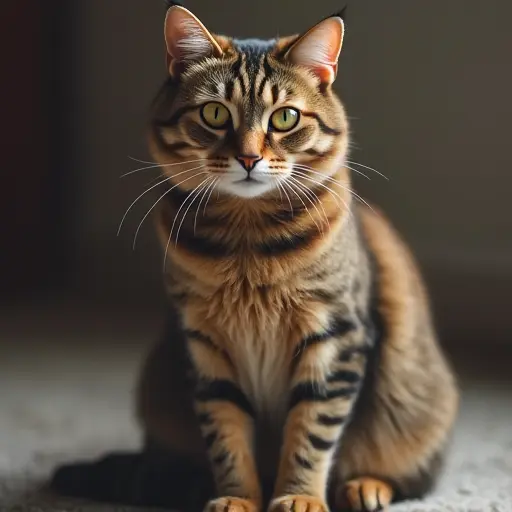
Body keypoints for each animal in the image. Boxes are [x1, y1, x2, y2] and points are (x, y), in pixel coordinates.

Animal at [51, 4, 460, 512]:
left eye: (284, 118)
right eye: (213, 113)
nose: (248, 158)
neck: (248, 245)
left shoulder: (336, 336)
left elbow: (311, 433)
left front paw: (300, 497)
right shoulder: (205, 345)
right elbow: (226, 437)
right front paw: (238, 499)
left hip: (417, 412)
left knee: (409, 474)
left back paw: (365, 487)